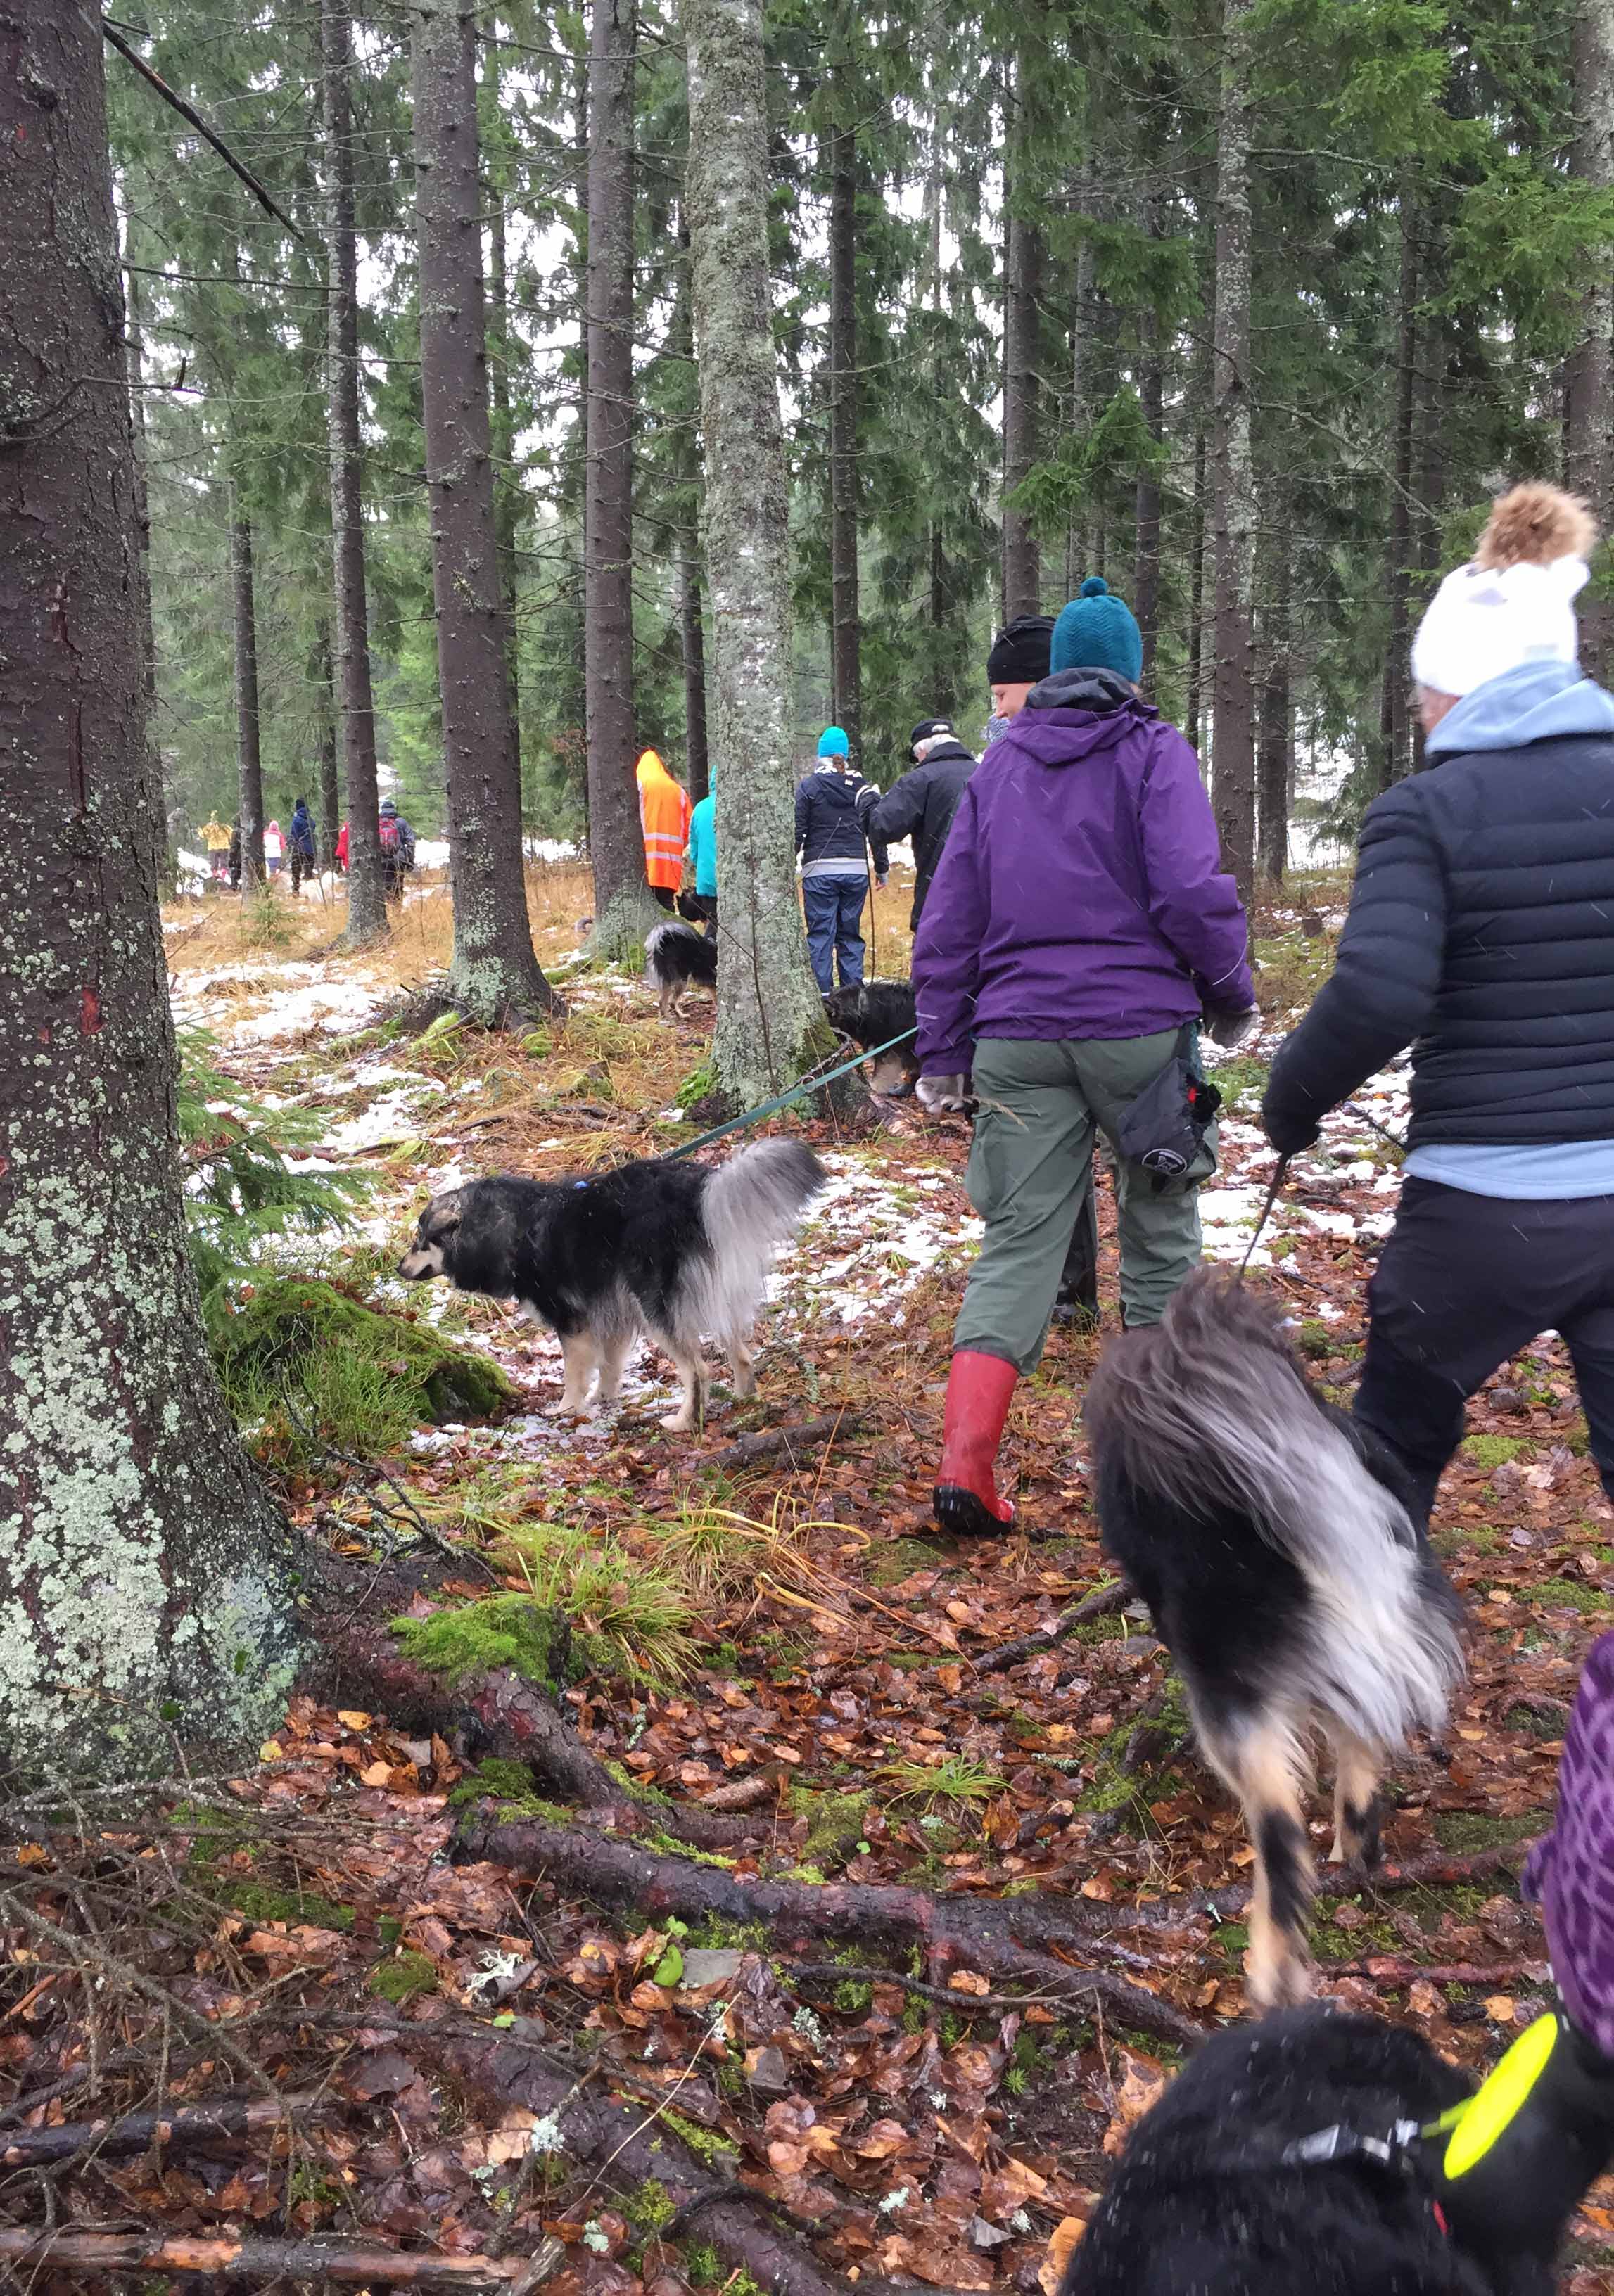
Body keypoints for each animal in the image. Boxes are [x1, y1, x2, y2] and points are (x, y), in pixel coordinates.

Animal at [398, 1139, 824, 1431]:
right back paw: (744, 1398)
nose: (399, 1268)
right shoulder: (613, 1314)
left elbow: (574, 1373)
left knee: (698, 1371)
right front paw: (603, 1399)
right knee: (742, 1353)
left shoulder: (574, 1324)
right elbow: (609, 1365)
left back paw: (684, 1421)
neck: (514, 1227)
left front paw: (567, 1409)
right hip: (709, 1297)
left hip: (658, 1307)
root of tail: (697, 1193)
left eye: (420, 1240)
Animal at [645, 921, 717, 1021]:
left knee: (662, 1000)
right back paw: (680, 1016)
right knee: (671, 1002)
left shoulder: (711, 983)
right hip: (682, 980)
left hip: (666, 979)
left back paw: (666, 1017)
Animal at [822, 979, 920, 1097]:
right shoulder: (900, 1049)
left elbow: (878, 1075)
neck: (861, 1007)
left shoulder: (885, 1049)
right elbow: (913, 1069)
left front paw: (874, 1090)